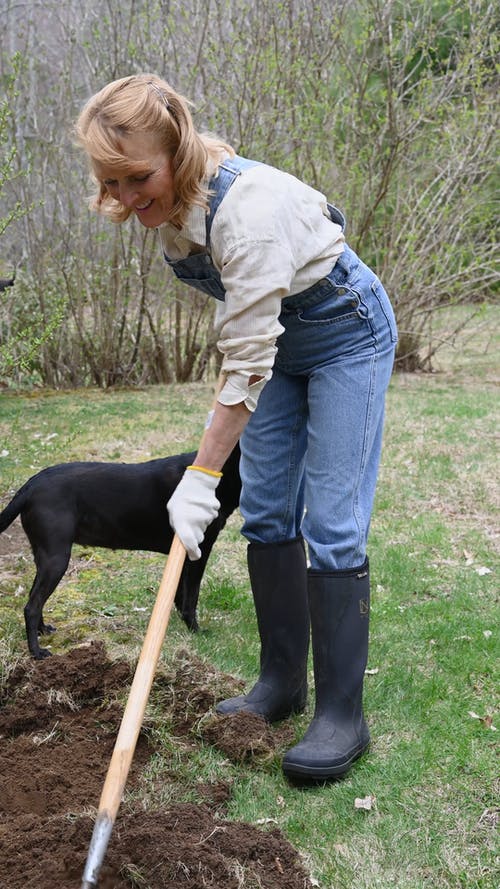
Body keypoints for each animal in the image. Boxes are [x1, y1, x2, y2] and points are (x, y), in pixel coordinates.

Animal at [0, 448, 240, 656]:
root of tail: (30, 485)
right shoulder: (200, 550)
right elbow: (191, 597)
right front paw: (196, 631)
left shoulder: (184, 551)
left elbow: (179, 595)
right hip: (56, 559)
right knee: (31, 607)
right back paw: (36, 652)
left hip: (44, 556)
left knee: (35, 598)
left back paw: (42, 631)